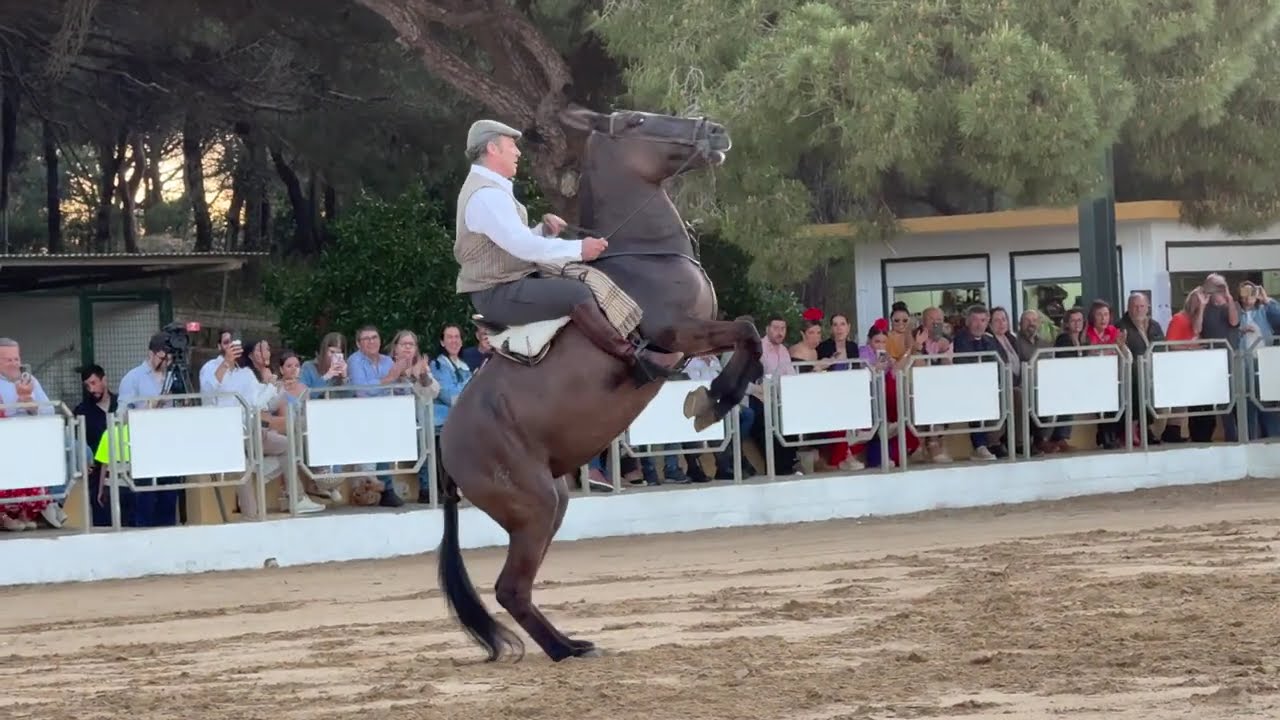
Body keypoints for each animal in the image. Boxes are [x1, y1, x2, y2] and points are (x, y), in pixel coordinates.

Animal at [435, 105, 764, 663]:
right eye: (636, 121)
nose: (715, 132)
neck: (642, 258)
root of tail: (445, 446)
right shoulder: (679, 334)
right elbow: (748, 332)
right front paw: (714, 400)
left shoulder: (694, 338)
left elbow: (748, 336)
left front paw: (713, 399)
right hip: (535, 507)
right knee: (509, 588)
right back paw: (564, 650)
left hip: (551, 502)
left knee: (517, 589)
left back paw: (571, 643)